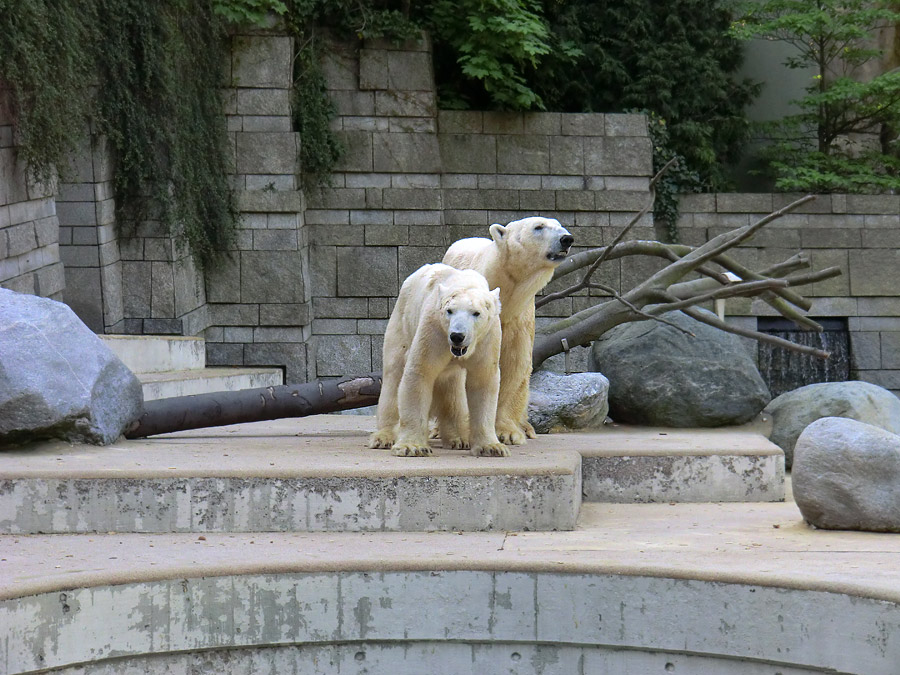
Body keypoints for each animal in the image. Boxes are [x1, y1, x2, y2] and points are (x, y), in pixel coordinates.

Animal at [366, 264, 506, 460]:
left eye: (476, 313)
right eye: (449, 311)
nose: (457, 336)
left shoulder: (487, 338)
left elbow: (482, 380)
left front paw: (492, 447)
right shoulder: (434, 329)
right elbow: (420, 372)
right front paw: (412, 447)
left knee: (453, 388)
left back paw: (459, 438)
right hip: (401, 323)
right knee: (393, 374)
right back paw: (383, 437)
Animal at [444, 219, 576, 446]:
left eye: (559, 225)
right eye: (539, 227)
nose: (566, 238)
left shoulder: (518, 318)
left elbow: (514, 364)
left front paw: (508, 433)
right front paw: (461, 434)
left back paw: (527, 427)